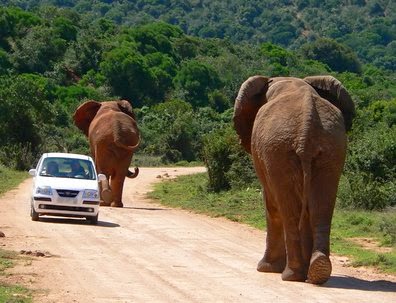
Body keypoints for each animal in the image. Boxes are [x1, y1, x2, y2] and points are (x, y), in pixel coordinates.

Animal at [234, 75, 354, 284]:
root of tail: (308, 125)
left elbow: (271, 205)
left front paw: (265, 269)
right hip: (331, 148)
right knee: (320, 207)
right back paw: (318, 271)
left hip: (278, 149)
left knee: (287, 210)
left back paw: (291, 276)